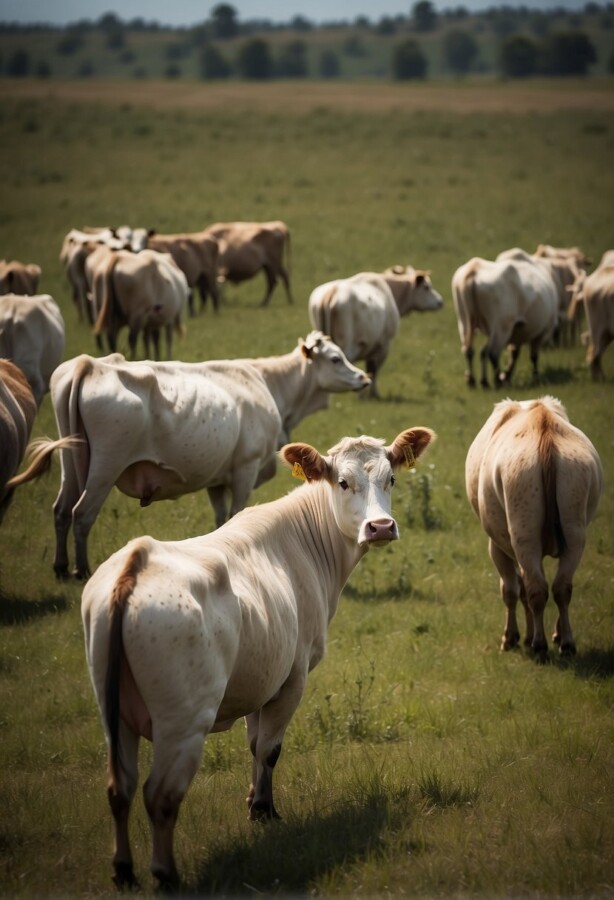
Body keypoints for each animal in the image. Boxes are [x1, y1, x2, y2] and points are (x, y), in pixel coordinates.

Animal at [47, 353, 283, 579]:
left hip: (69, 459)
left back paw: (61, 567)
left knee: (62, 509)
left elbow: (221, 518)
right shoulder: (247, 466)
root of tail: (90, 364)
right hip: (106, 465)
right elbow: (236, 514)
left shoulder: (216, 479)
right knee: (82, 513)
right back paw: (81, 570)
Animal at [81, 424, 436, 888]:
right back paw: (166, 873)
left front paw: (253, 801)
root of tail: (136, 561)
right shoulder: (292, 676)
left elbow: (253, 744)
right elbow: (270, 748)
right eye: (343, 482)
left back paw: (123, 870)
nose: (380, 526)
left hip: (114, 713)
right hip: (183, 721)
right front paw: (265, 811)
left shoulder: (260, 674)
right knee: (160, 796)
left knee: (119, 787)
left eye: (391, 478)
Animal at [308, 267, 444, 398]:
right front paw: (371, 394)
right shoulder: (384, 345)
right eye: (426, 287)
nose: (440, 302)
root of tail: (331, 292)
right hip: (346, 345)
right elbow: (373, 369)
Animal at [451, 256, 559, 388]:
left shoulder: (517, 332)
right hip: (501, 326)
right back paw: (498, 381)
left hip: (464, 321)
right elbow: (533, 356)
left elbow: (513, 353)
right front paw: (534, 377)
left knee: (471, 350)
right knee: (492, 352)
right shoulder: (542, 332)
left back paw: (476, 380)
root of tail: (473, 269)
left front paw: (506, 375)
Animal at [465, 396, 603, 662]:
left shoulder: (496, 546)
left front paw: (513, 638)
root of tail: (542, 421)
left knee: (535, 589)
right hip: (574, 531)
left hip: (523, 534)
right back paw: (565, 642)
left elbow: (511, 589)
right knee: (561, 587)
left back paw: (539, 645)